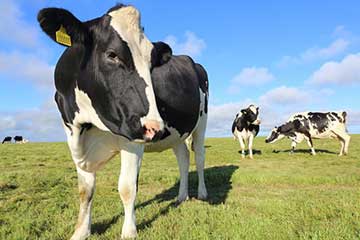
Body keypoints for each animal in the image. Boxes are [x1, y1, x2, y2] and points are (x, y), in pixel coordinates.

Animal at [37, 4, 208, 240]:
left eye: (151, 63)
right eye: (112, 54)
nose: (155, 128)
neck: (87, 124)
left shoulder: (133, 136)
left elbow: (127, 187)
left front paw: (129, 232)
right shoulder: (72, 133)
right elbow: (85, 190)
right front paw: (81, 231)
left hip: (201, 122)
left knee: (199, 157)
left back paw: (202, 193)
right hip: (176, 133)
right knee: (183, 158)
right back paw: (182, 196)